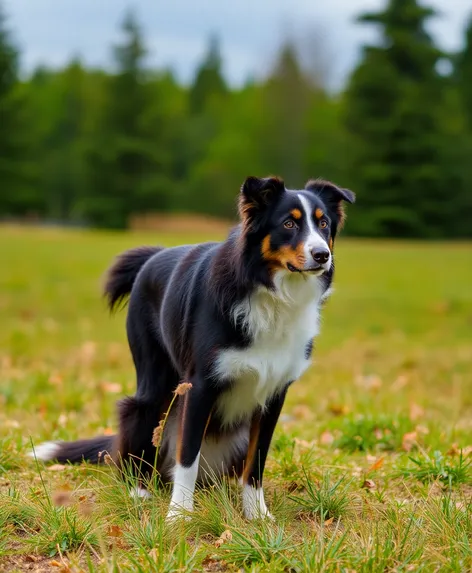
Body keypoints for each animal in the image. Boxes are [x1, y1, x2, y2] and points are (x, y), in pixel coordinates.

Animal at [32, 177, 354, 520]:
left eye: (323, 223)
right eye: (289, 223)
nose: (322, 255)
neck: (270, 293)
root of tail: (153, 254)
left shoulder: (274, 394)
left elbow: (256, 461)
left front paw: (256, 514)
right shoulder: (199, 386)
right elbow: (187, 456)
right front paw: (179, 515)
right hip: (153, 392)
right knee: (138, 439)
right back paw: (138, 491)